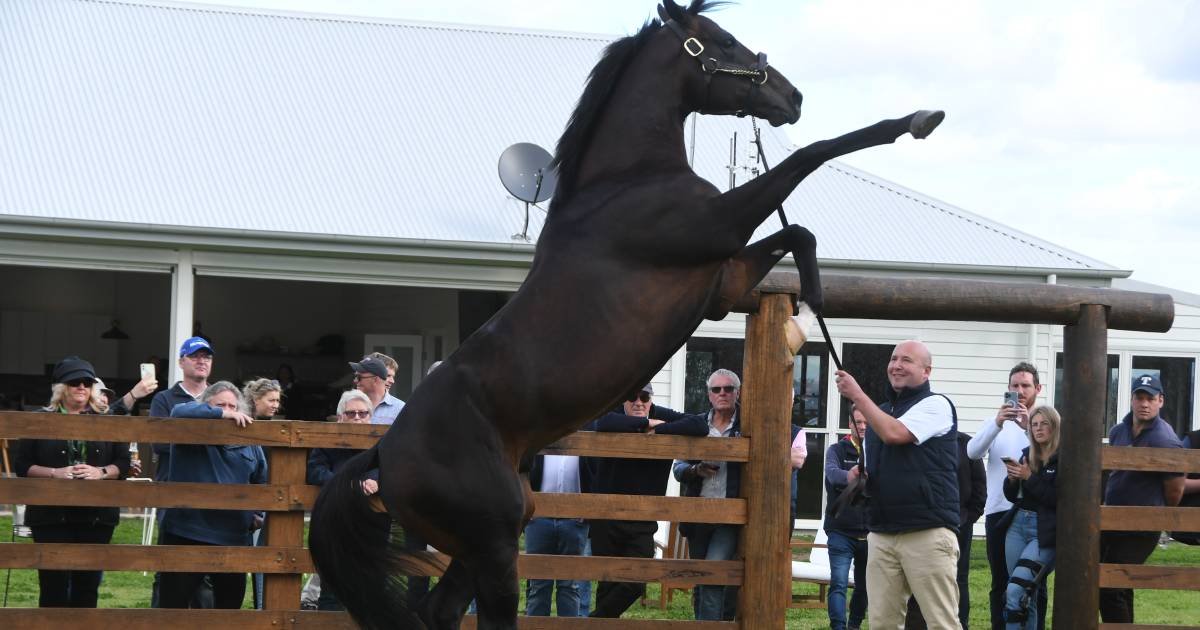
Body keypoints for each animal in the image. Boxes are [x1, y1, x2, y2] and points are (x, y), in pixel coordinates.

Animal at [312, 2, 945, 624]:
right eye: (723, 39)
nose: (792, 98)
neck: (625, 182)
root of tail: (381, 453)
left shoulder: (723, 280)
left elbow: (799, 231)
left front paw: (807, 313)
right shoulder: (717, 228)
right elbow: (811, 159)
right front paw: (919, 119)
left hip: (483, 544)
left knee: (439, 612)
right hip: (493, 548)